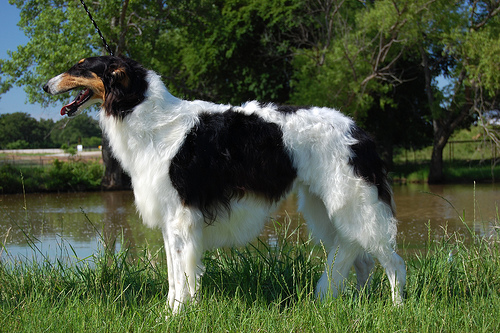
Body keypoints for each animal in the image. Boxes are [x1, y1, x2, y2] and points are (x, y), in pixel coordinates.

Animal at [44, 55, 406, 312]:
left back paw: (397, 306)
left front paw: (178, 314)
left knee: (393, 262)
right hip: (328, 209)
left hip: (356, 205)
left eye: (81, 66)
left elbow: (183, 275)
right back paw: (357, 304)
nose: (46, 86)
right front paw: (169, 312)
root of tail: (359, 131)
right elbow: (173, 275)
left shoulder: (182, 217)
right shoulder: (169, 218)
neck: (147, 117)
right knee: (360, 258)